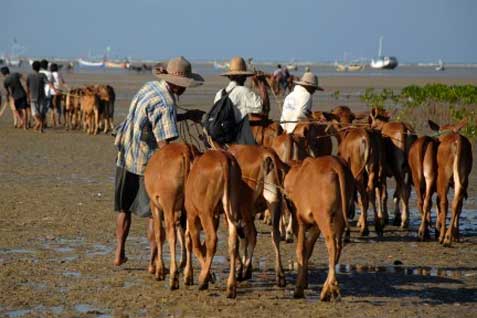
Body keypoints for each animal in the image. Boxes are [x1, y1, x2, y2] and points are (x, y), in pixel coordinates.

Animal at [143, 143, 199, 290]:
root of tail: (185, 150)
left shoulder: (155, 206)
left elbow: (158, 234)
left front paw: (159, 271)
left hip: (168, 206)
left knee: (171, 235)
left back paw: (173, 278)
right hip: (189, 209)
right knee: (189, 235)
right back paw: (188, 275)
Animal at [184, 149, 245, 298]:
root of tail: (224, 158)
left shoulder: (192, 215)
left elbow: (196, 245)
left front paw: (206, 277)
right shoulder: (216, 217)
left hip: (206, 212)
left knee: (212, 240)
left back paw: (203, 279)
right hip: (231, 206)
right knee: (233, 241)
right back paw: (231, 286)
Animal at [282, 156, 354, 300]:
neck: (298, 174)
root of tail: (336, 164)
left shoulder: (300, 221)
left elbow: (301, 251)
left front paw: (298, 289)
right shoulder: (315, 225)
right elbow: (308, 250)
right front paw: (304, 282)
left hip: (323, 217)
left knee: (332, 245)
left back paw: (329, 288)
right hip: (339, 218)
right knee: (338, 246)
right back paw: (329, 284)